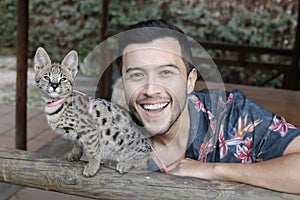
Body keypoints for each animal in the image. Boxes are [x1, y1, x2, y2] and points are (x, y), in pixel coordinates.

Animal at [34, 47, 151, 177]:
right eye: (47, 77)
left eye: (63, 79)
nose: (54, 85)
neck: (55, 104)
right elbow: (77, 142)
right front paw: (75, 154)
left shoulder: (90, 130)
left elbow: (92, 151)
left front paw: (93, 167)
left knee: (145, 157)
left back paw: (127, 163)